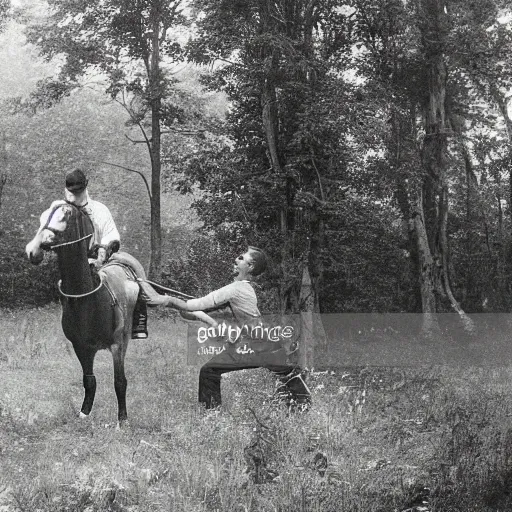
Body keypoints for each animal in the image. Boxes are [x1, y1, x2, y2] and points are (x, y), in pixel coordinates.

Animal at [25, 202, 139, 426]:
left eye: (64, 217)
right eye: (42, 217)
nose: (33, 251)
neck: (87, 299)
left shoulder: (117, 345)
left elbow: (119, 381)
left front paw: (122, 420)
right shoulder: (81, 347)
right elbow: (89, 380)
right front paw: (84, 412)